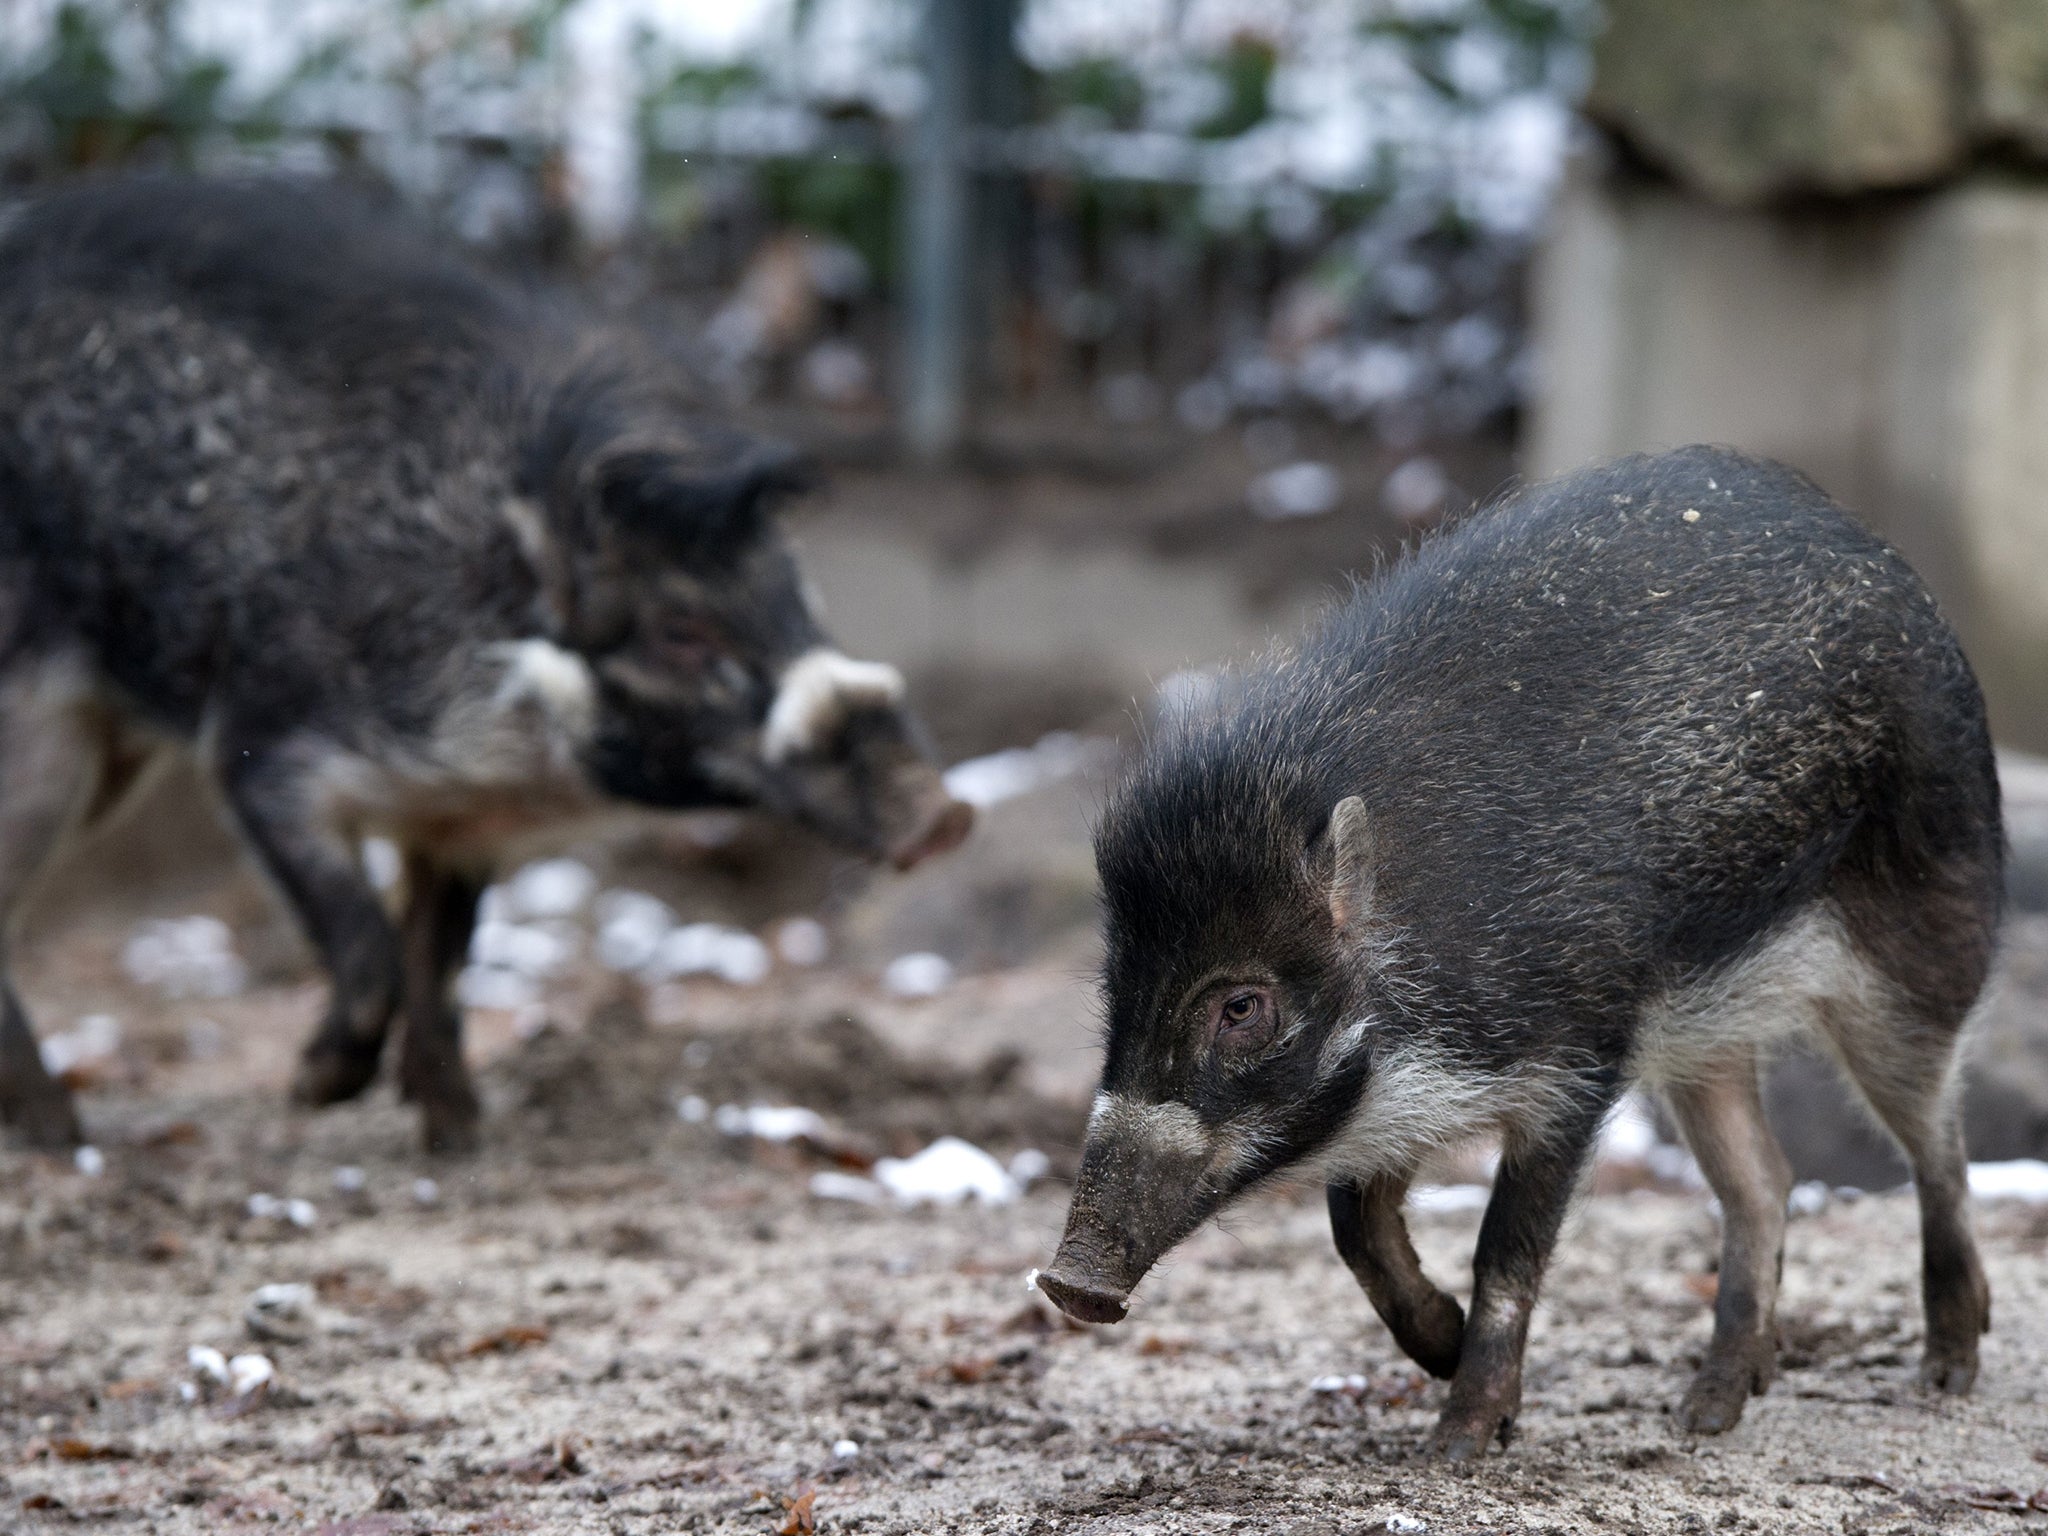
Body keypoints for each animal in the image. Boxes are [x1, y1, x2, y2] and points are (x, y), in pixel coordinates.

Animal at [0, 180, 970, 1155]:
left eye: (800, 595)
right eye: (680, 633)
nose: (947, 811)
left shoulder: (458, 828)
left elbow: (440, 966)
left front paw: (459, 1141)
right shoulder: (260, 751)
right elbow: (370, 948)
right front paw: (313, 1094)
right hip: (41, 727)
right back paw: (60, 1140)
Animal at [1040, 448, 1998, 1466]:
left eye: (1240, 1005)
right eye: (1117, 989)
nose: (1067, 1284)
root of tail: (1888, 559)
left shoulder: (1576, 1059)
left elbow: (1506, 1246)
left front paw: (1457, 1444)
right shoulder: (1404, 1092)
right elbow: (1355, 1228)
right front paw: (1441, 1348)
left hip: (1924, 948)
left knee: (1938, 1142)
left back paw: (1945, 1374)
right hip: (1706, 1033)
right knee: (1764, 1180)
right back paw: (1706, 1413)